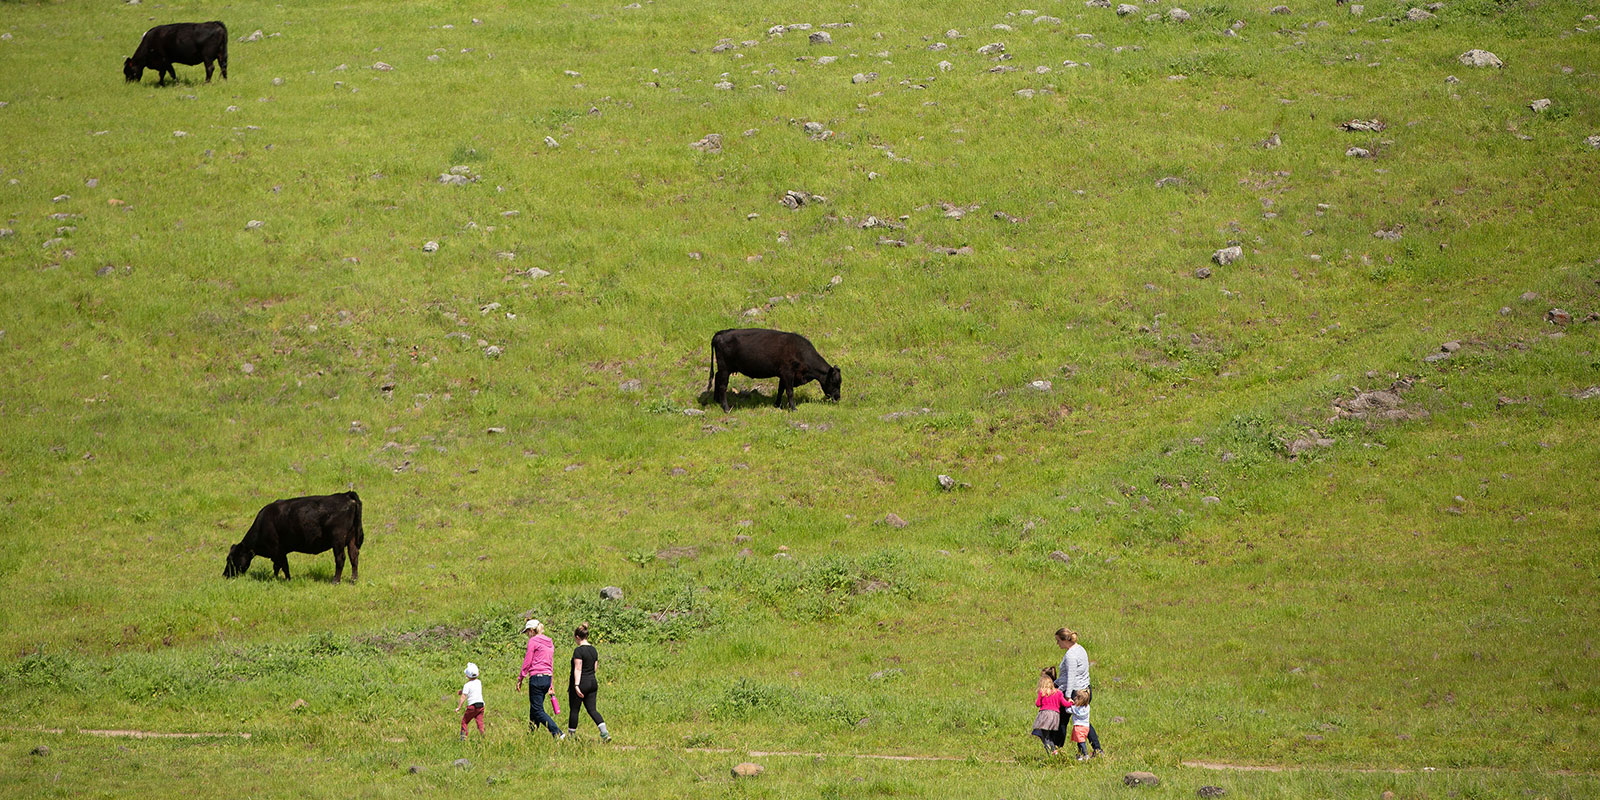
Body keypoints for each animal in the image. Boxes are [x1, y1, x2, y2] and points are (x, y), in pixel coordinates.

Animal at [224, 486, 364, 582]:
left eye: (230, 559)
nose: (225, 574)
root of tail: (346, 495)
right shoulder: (277, 553)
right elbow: (277, 566)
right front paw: (274, 578)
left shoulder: (278, 550)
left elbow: (283, 565)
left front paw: (287, 579)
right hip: (351, 538)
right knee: (354, 556)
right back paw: (353, 580)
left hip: (338, 539)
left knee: (341, 558)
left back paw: (335, 581)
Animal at [707, 326, 844, 409]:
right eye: (835, 382)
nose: (838, 397)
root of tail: (720, 333)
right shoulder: (788, 373)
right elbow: (789, 391)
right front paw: (793, 408)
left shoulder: (783, 375)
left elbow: (780, 390)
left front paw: (777, 405)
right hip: (725, 369)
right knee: (723, 386)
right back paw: (726, 408)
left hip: (723, 369)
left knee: (717, 378)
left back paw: (716, 401)